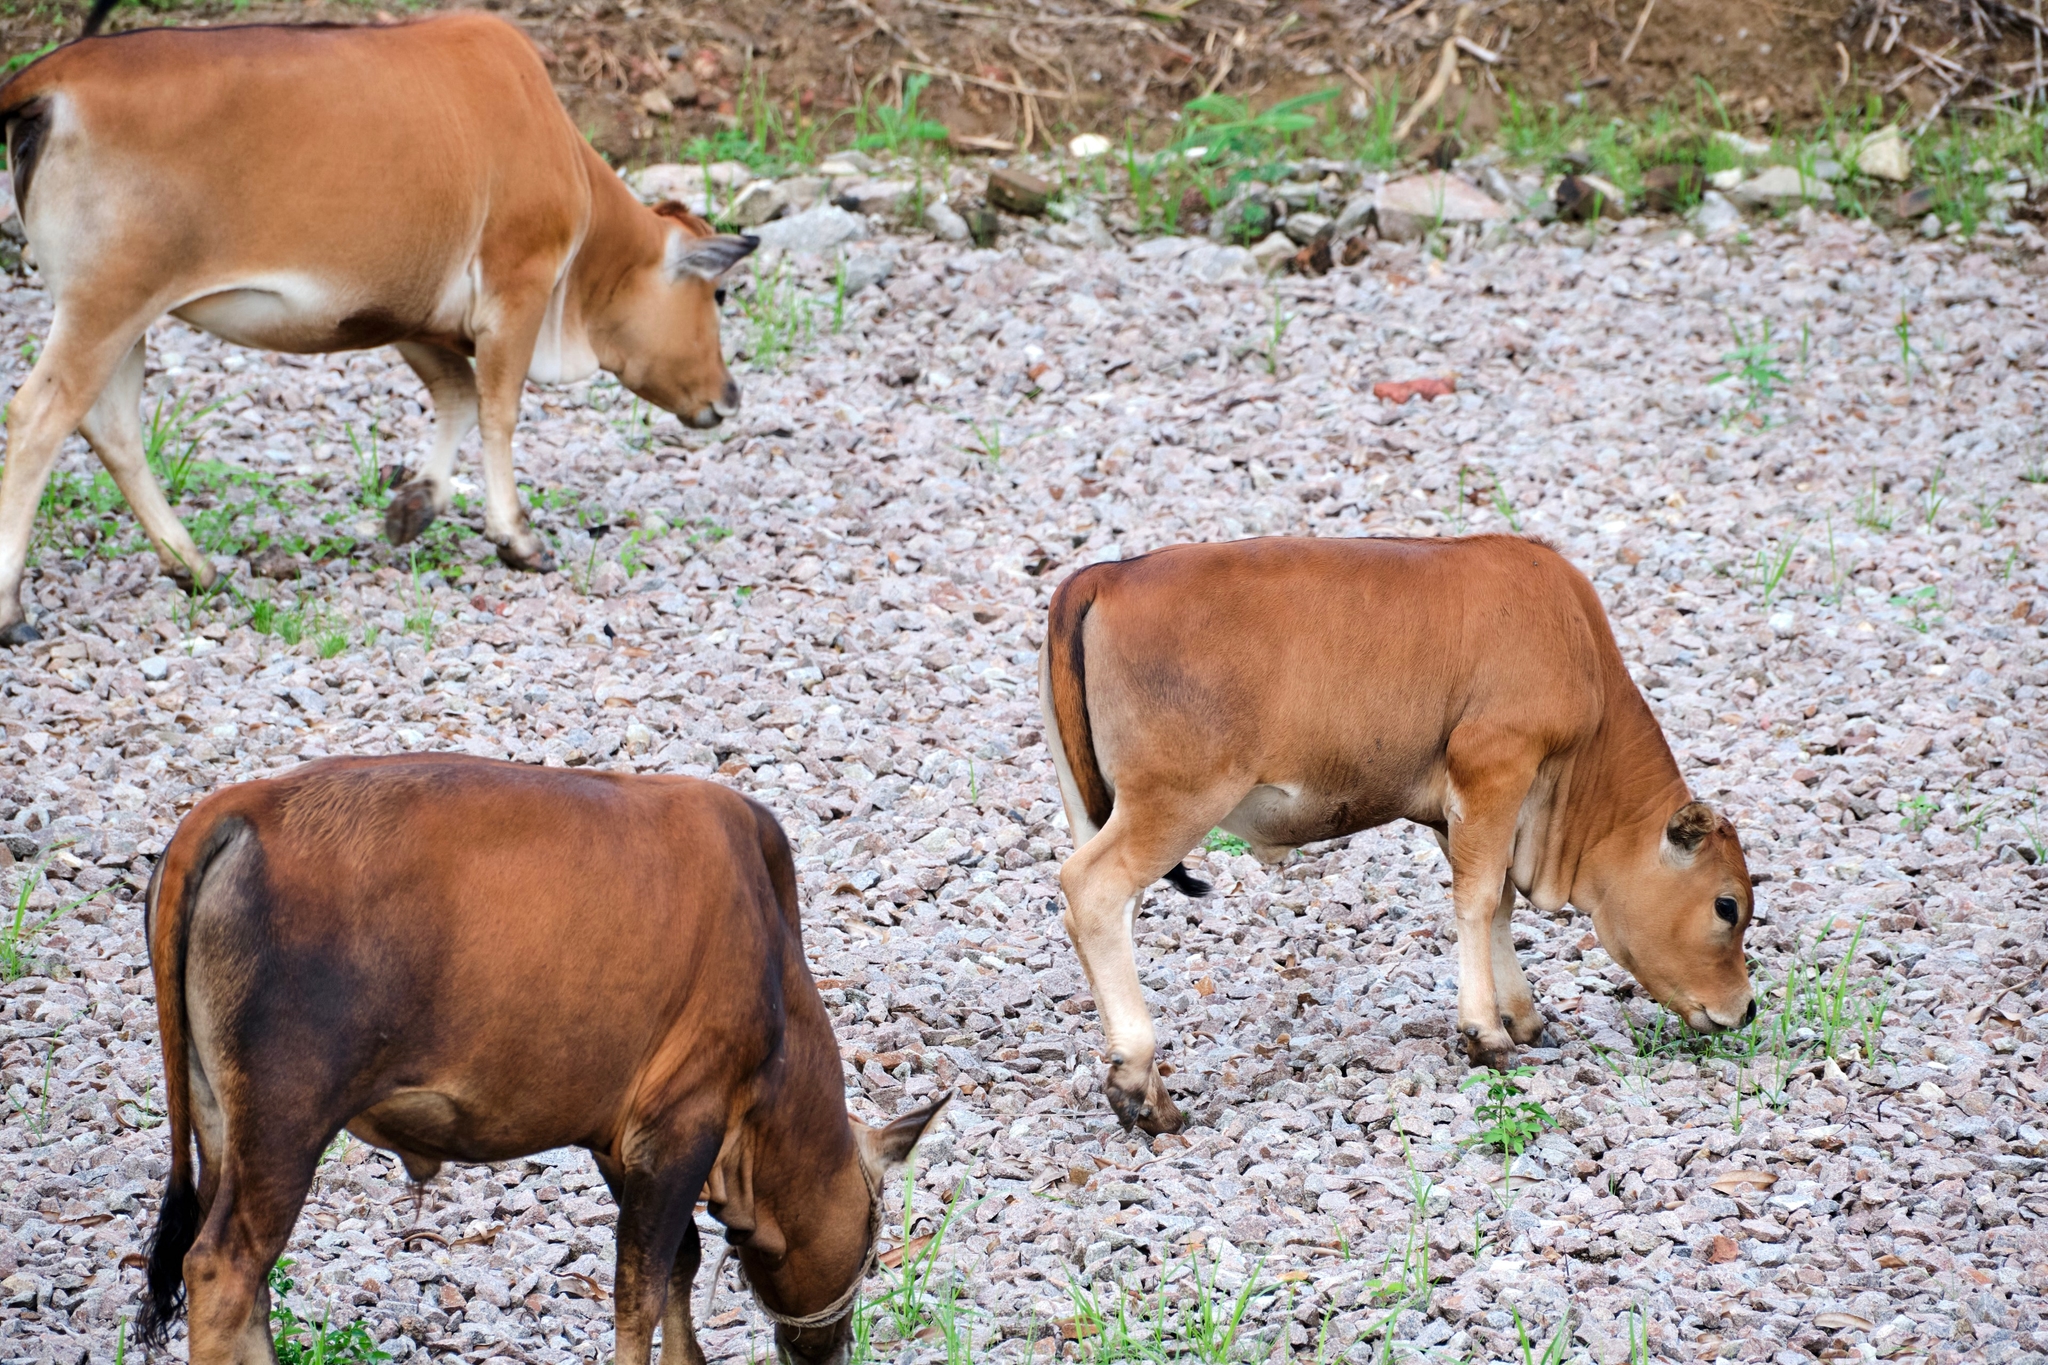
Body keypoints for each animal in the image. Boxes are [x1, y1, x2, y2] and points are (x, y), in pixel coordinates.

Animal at [0, 4, 757, 644]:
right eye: (720, 296)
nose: (729, 394)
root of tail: (57, 71)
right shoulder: (516, 289)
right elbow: (497, 410)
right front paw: (517, 537)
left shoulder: (407, 314)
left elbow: (456, 393)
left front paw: (416, 502)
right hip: (107, 305)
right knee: (40, 417)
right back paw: (13, 611)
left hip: (120, 317)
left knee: (112, 426)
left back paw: (194, 565)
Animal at [133, 755, 944, 1365]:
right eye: (873, 1243)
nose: (832, 1348)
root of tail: (240, 805)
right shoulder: (685, 1119)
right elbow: (641, 1287)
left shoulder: (624, 1139)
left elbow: (676, 1270)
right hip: (285, 1124)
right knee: (222, 1269)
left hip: (221, 1124)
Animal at [1038, 535, 1757, 1134]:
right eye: (1728, 906)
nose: (1747, 1009)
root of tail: (1106, 574)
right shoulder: (1495, 766)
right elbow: (1478, 900)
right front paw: (1487, 1034)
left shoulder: (1457, 807)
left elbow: (1497, 900)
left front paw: (1523, 1018)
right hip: (1174, 800)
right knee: (1093, 890)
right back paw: (1139, 1082)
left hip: (1100, 806)